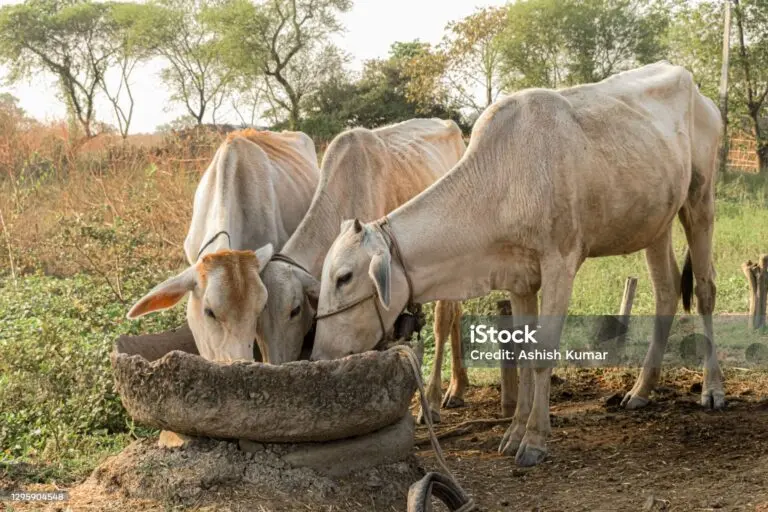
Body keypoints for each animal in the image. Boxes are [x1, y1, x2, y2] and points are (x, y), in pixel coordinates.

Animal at [309, 62, 724, 467]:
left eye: (344, 277)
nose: (317, 356)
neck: (502, 181)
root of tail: (695, 86)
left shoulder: (560, 263)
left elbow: (542, 353)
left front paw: (535, 440)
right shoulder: (518, 277)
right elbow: (523, 354)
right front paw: (514, 432)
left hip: (700, 199)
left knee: (705, 289)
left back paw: (712, 389)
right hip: (657, 222)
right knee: (667, 290)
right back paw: (640, 390)